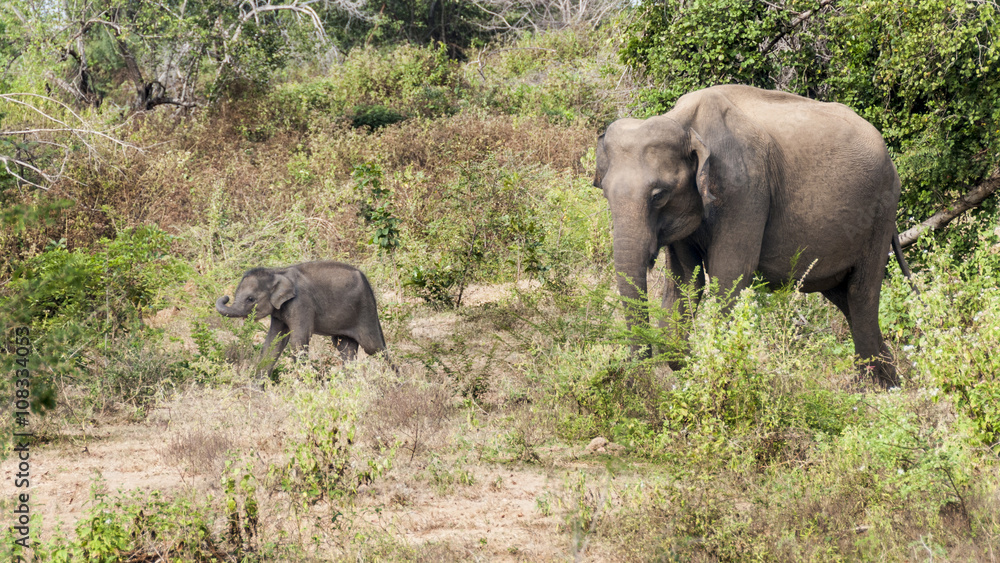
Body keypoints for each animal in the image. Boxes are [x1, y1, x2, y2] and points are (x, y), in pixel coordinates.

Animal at [215, 261, 389, 378]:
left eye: (250, 299)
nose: (226, 297)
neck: (277, 272)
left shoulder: (301, 303)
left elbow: (298, 340)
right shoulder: (279, 311)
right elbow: (274, 341)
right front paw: (257, 390)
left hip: (365, 309)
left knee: (374, 347)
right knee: (345, 347)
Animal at [593, 84, 914, 388]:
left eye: (659, 195)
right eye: (604, 193)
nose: (635, 374)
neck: (685, 123)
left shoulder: (744, 189)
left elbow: (729, 275)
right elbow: (685, 281)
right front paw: (685, 358)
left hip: (881, 211)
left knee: (861, 294)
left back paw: (874, 389)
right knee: (842, 296)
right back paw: (889, 382)